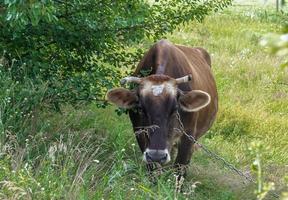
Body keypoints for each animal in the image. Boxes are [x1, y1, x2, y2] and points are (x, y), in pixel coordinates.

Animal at [107, 39, 217, 177]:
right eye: (141, 109)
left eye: (175, 109)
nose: (157, 155)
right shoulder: (139, 132)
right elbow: (153, 170)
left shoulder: (189, 136)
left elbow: (179, 169)